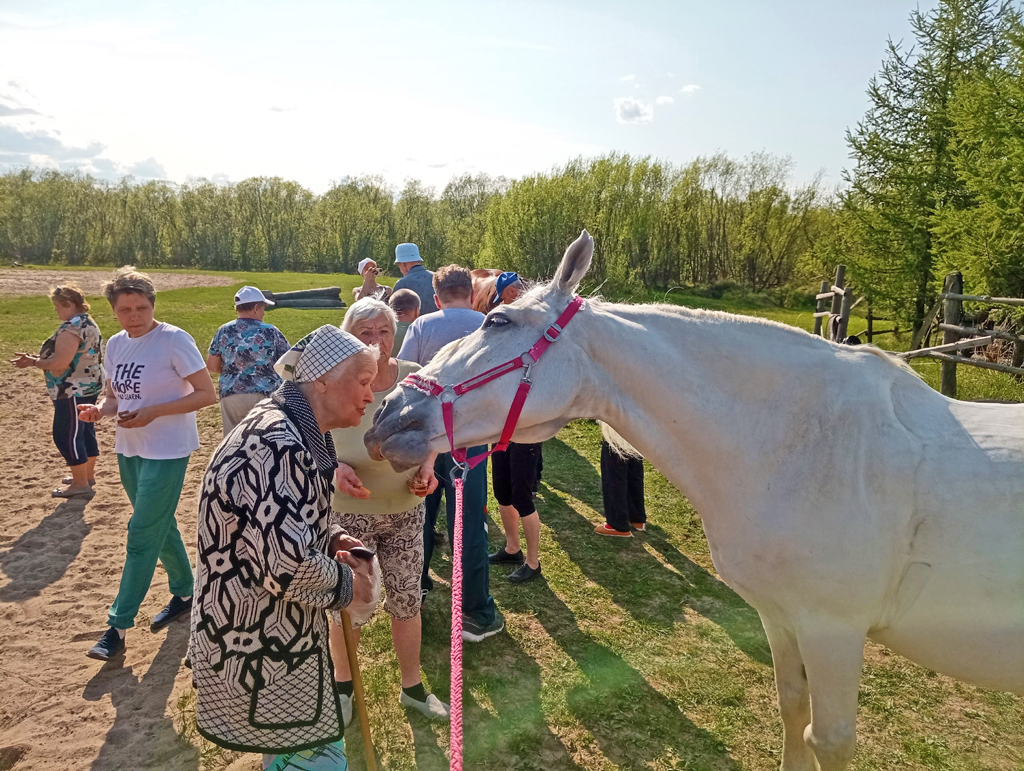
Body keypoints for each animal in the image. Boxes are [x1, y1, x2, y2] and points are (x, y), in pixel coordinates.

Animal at [366, 231, 1024, 765]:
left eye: (496, 323)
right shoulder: (782, 617)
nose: (388, 414)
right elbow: (791, 709)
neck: (805, 445)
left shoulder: (834, 630)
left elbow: (828, 738)